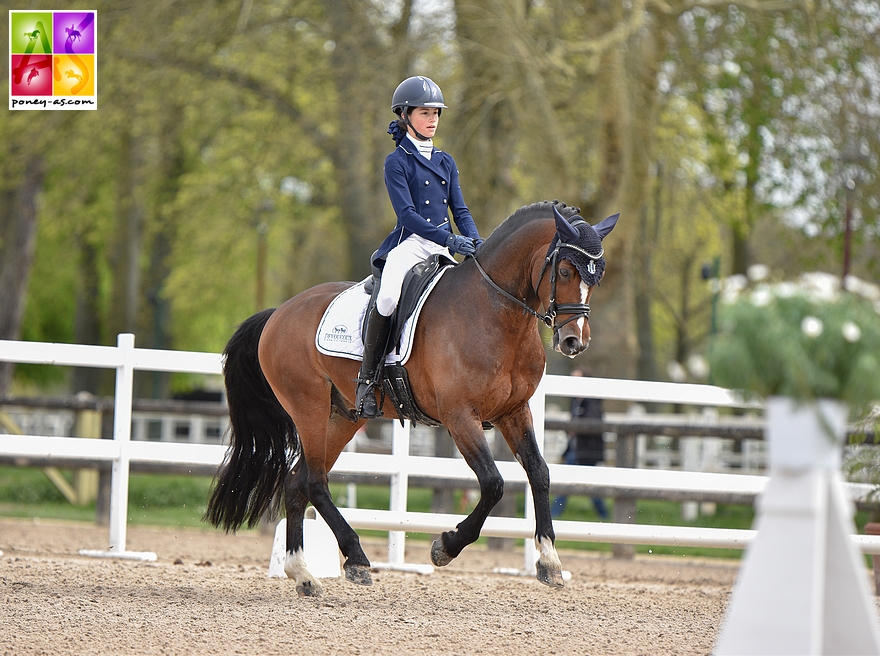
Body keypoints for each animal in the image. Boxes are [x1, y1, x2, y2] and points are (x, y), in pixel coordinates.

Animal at [205, 199, 620, 596]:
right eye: (565, 271)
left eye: (597, 277)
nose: (574, 342)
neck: (497, 314)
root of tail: (280, 312)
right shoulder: (459, 417)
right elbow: (493, 483)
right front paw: (445, 546)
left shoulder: (515, 412)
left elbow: (540, 472)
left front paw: (549, 561)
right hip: (309, 407)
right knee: (315, 482)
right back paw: (356, 558)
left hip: (343, 416)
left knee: (298, 481)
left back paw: (303, 574)